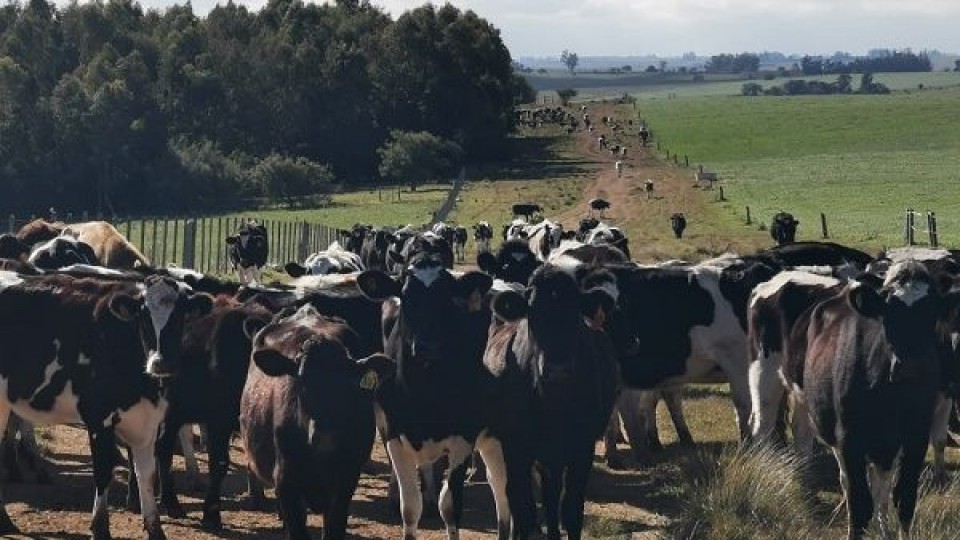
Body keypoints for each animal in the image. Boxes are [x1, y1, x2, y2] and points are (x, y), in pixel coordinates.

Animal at [0, 272, 212, 536]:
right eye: (143, 316)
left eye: (181, 316)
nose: (160, 363)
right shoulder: (98, 418)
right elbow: (103, 471)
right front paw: (100, 527)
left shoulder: (148, 421)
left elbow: (146, 475)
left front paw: (155, 528)